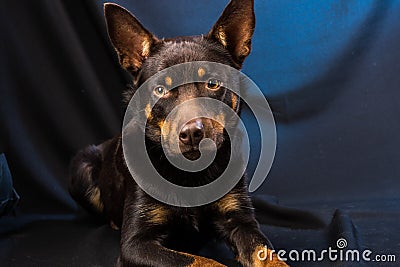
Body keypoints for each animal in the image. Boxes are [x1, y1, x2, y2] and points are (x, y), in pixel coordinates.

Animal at [69, 1, 288, 266]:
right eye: (160, 89)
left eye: (213, 83)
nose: (192, 133)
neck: (191, 174)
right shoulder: (135, 245)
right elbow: (202, 261)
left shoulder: (240, 221)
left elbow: (268, 256)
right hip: (81, 166)